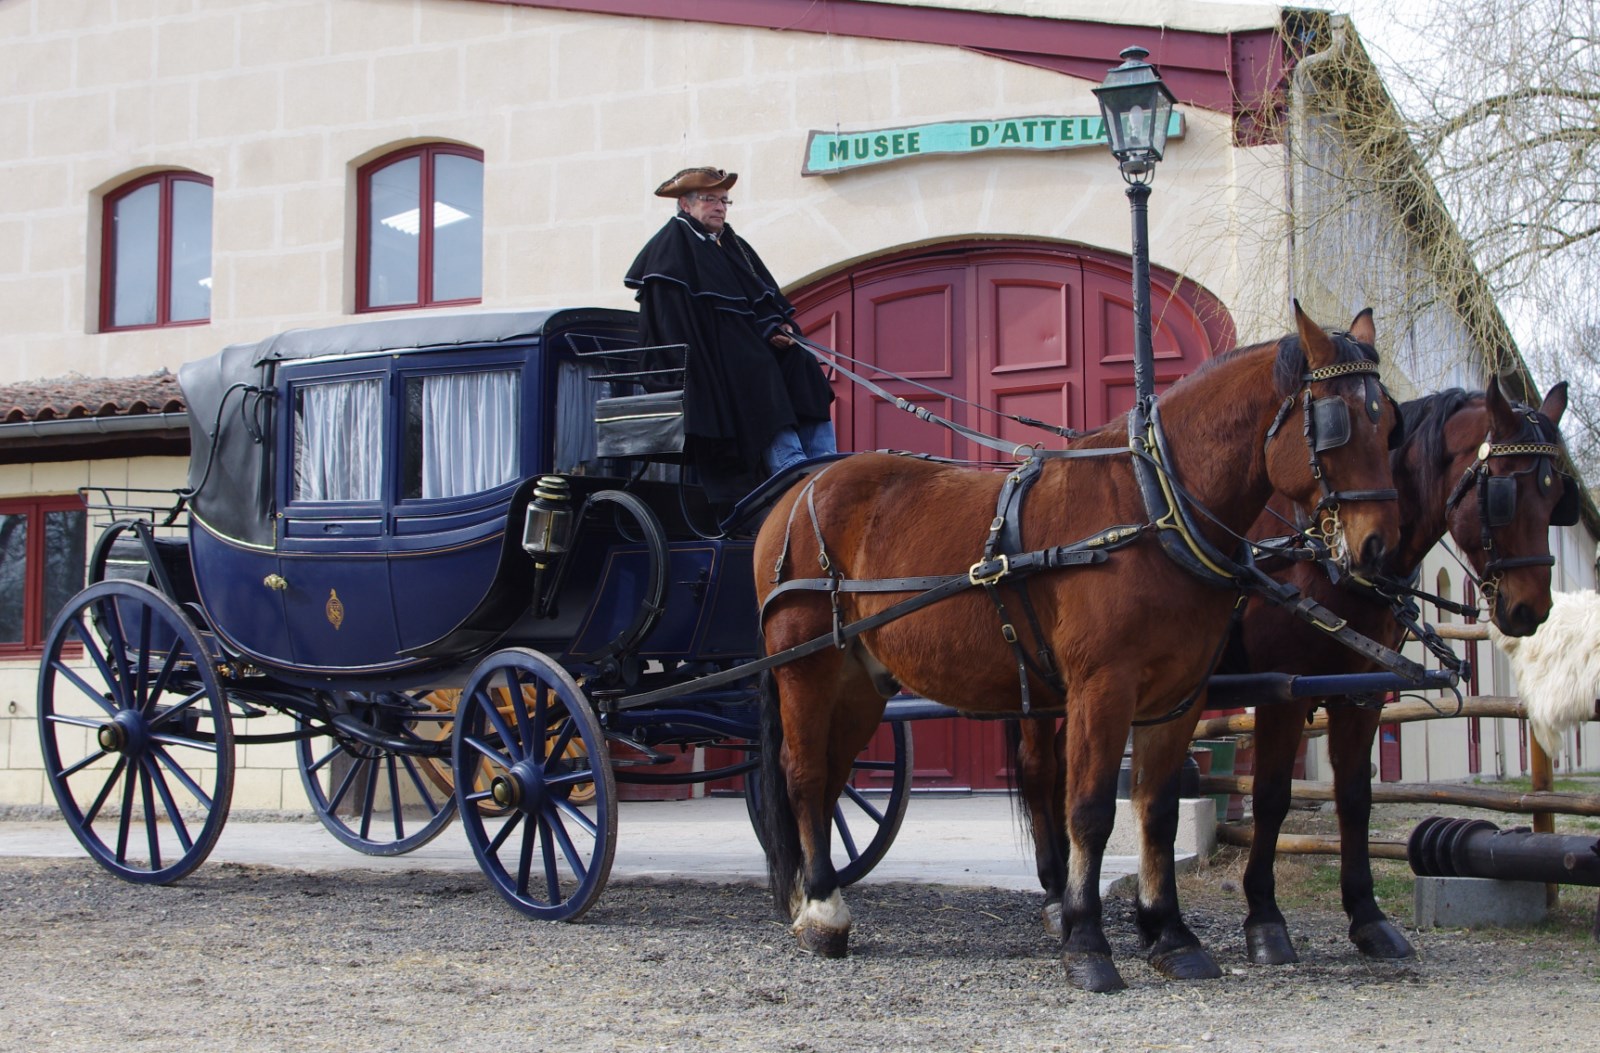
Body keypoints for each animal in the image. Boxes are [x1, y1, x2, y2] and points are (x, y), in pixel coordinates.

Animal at [754, 305, 1403, 992]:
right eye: (1334, 424)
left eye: (1389, 423)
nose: (1379, 548)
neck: (1150, 507)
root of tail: (800, 491)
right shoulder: (1102, 687)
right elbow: (1090, 810)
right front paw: (1088, 943)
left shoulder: (1179, 696)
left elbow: (1157, 811)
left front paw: (1169, 934)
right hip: (805, 669)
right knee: (804, 773)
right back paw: (823, 912)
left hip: (860, 684)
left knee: (830, 780)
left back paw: (808, 898)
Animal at [1014, 378, 1573, 966]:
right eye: (1505, 493)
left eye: (1556, 497)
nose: (1530, 609)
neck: (1321, 553)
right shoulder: (1284, 689)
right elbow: (1271, 797)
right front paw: (1264, 917)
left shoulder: (1359, 694)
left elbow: (1355, 798)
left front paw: (1367, 916)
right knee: (1040, 767)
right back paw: (1055, 893)